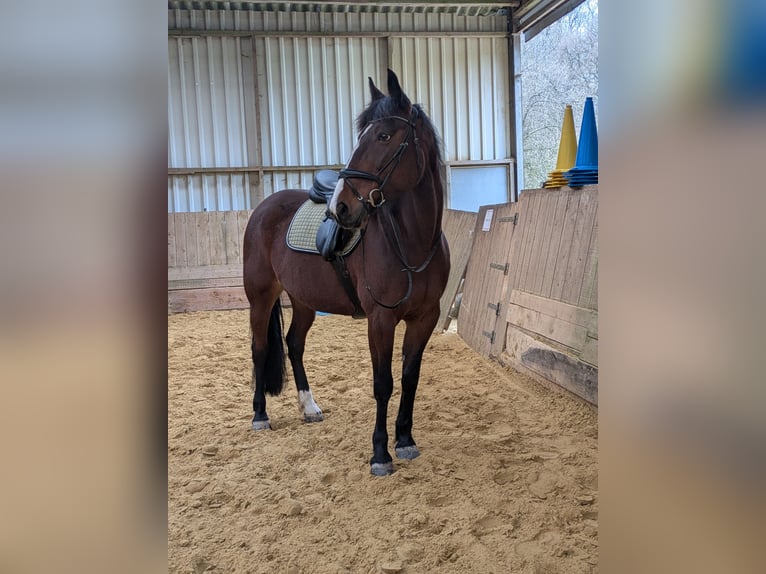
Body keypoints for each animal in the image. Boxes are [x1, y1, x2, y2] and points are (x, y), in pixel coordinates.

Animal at [242, 69, 450, 476]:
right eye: (362, 136)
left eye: (384, 136)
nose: (340, 207)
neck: (412, 243)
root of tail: (264, 208)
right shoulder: (380, 320)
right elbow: (383, 383)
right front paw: (380, 453)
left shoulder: (425, 318)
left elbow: (410, 377)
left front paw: (405, 439)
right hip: (261, 297)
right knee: (260, 348)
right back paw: (260, 415)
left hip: (304, 301)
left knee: (293, 344)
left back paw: (309, 408)